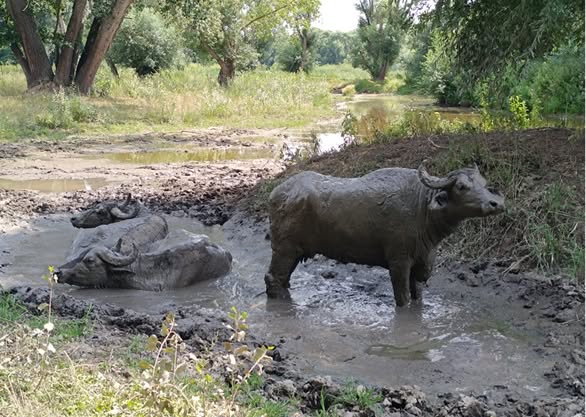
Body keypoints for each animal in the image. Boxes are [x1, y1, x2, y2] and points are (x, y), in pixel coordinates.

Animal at [264, 164, 505, 307]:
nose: (497, 203)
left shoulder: (419, 263)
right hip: (284, 249)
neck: (422, 208)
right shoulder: (399, 261)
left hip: (295, 252)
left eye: (483, 183)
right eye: (462, 186)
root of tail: (276, 193)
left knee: (283, 279)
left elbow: (417, 295)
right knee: (273, 278)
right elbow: (403, 298)